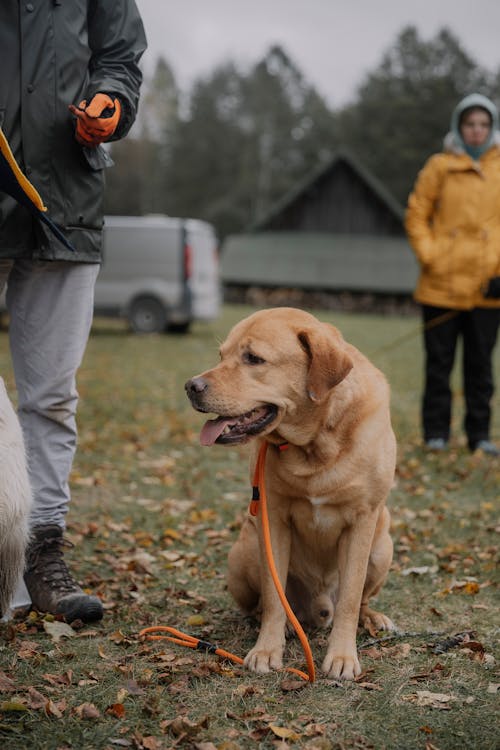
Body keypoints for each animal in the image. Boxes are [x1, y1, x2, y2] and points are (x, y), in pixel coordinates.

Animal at [186, 308, 396, 684]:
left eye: (253, 358)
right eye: (221, 355)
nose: (191, 386)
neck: (316, 446)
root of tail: (318, 608)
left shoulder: (363, 521)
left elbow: (351, 598)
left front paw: (342, 656)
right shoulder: (273, 520)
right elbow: (273, 596)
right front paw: (267, 649)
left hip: (382, 546)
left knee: (359, 601)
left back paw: (372, 617)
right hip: (244, 553)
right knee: (263, 603)